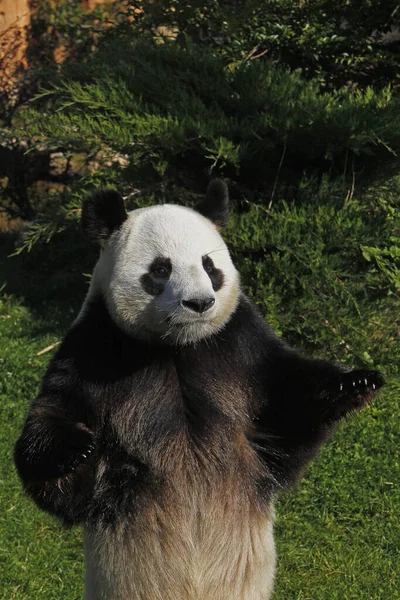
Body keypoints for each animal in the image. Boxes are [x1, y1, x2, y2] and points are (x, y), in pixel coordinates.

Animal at [14, 180, 384, 600]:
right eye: (160, 270)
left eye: (210, 266)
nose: (200, 302)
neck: (178, 347)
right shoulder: (93, 350)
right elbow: (55, 438)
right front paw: (76, 449)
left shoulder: (241, 346)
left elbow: (289, 399)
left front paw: (356, 381)